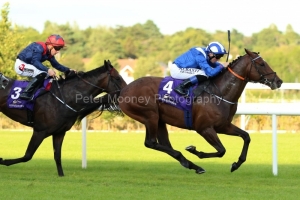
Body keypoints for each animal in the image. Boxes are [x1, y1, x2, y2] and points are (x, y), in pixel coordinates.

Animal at [118, 48, 284, 173]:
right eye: (262, 64)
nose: (279, 81)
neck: (220, 92)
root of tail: (123, 90)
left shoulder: (223, 126)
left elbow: (246, 136)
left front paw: (236, 164)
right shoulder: (204, 128)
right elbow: (222, 150)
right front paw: (194, 150)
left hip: (159, 120)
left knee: (164, 144)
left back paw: (190, 164)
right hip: (150, 116)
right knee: (151, 142)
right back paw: (191, 163)